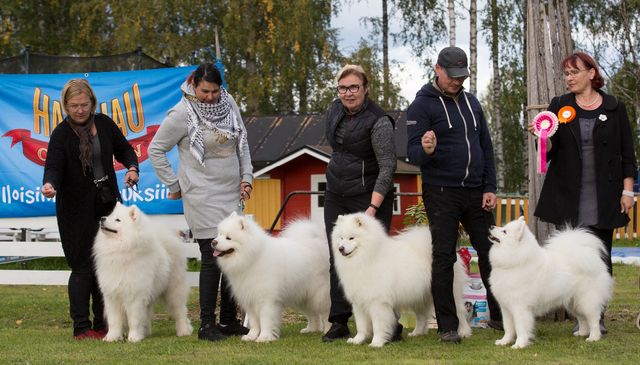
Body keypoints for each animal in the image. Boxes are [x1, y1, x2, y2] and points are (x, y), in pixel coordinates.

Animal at [92, 202, 192, 342]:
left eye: (118, 220)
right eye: (109, 215)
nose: (102, 218)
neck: (120, 250)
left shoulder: (135, 295)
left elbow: (134, 320)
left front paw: (133, 338)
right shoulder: (111, 295)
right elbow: (114, 321)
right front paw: (111, 337)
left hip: (174, 291)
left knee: (180, 311)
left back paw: (183, 331)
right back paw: (146, 332)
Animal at [212, 210, 330, 342]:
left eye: (228, 238)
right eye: (219, 235)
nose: (213, 242)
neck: (252, 258)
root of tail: (317, 242)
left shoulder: (267, 300)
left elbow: (265, 320)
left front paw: (264, 337)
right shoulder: (249, 299)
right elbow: (254, 322)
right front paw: (251, 336)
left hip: (319, 294)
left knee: (325, 313)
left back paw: (327, 330)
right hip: (304, 295)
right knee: (313, 314)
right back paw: (311, 329)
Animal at [332, 212, 472, 346]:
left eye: (351, 238)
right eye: (341, 238)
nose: (341, 248)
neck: (367, 258)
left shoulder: (378, 303)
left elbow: (378, 325)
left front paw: (376, 342)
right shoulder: (358, 302)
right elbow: (361, 326)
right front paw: (357, 340)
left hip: (450, 293)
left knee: (460, 312)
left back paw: (464, 332)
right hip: (418, 297)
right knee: (422, 316)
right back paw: (417, 333)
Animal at [490, 216, 616, 346]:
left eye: (504, 231)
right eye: (503, 227)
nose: (491, 226)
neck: (516, 262)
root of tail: (593, 258)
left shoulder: (520, 307)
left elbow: (520, 328)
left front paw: (519, 344)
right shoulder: (505, 307)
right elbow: (508, 327)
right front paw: (504, 341)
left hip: (587, 301)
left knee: (594, 319)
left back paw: (593, 337)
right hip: (574, 303)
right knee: (582, 318)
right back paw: (581, 333)